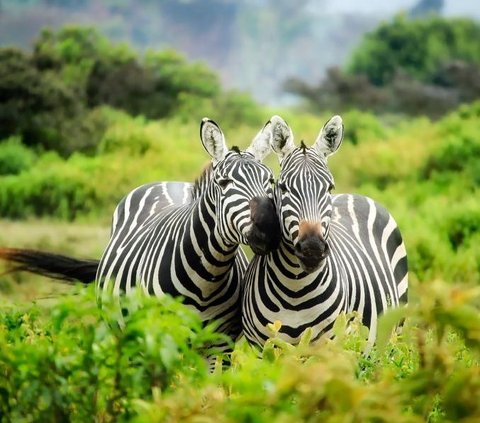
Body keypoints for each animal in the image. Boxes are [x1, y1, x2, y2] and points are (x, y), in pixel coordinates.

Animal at [0, 117, 282, 346]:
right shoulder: (162, 336)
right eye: (224, 183)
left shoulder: (219, 343)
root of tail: (168, 182)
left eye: (270, 181)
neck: (208, 277)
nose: (269, 228)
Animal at [242, 114, 406, 350]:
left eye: (329, 188)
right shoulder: (260, 348)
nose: (312, 249)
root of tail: (355, 195)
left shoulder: (329, 347)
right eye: (283, 187)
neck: (294, 289)